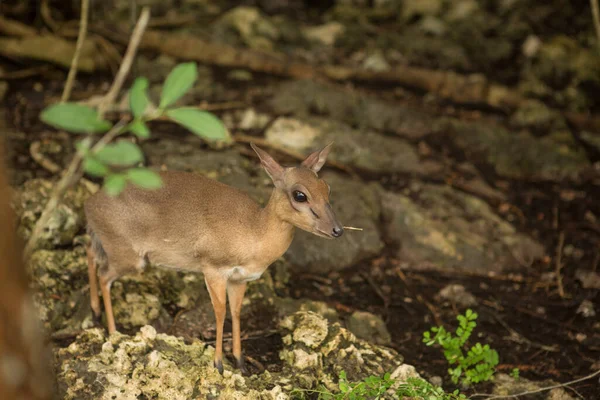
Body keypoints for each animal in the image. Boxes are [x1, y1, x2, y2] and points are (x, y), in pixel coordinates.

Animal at [84, 144, 342, 376]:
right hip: (128, 256)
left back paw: (95, 313)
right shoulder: (213, 269)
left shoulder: (240, 279)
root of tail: (90, 203)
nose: (337, 230)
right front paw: (218, 364)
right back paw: (114, 333)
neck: (255, 231)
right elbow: (220, 311)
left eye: (327, 187)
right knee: (104, 275)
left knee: (90, 252)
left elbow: (236, 312)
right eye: (300, 195)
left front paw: (240, 362)